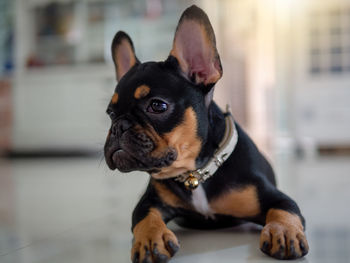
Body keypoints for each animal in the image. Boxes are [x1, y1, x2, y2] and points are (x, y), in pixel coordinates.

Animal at [104, 4, 308, 263]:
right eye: (110, 113)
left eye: (157, 105)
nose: (118, 126)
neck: (196, 172)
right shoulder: (149, 202)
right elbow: (144, 217)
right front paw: (151, 239)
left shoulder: (274, 196)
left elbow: (284, 210)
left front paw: (283, 232)